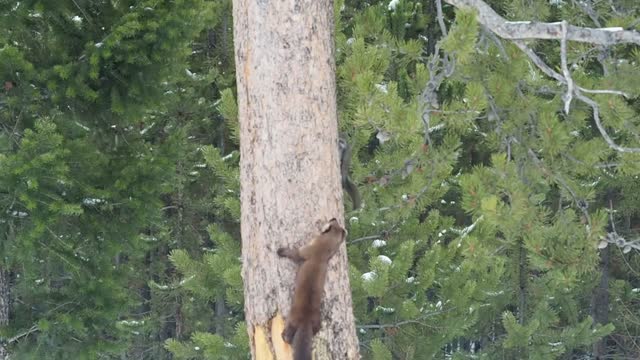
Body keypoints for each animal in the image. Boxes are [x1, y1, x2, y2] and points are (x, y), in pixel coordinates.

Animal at [276, 218, 344, 358]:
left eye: (332, 222)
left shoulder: (305, 250)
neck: (321, 252)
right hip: (317, 322)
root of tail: (306, 320)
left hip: (291, 318)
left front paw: (281, 250)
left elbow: (295, 253)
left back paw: (284, 336)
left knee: (288, 333)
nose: (334, 217)